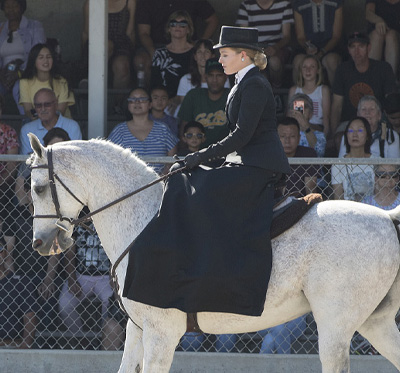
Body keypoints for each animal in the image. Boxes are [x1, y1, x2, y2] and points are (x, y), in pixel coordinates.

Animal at [27, 134, 400, 372]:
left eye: (40, 188)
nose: (42, 244)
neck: (143, 220)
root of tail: (386, 218)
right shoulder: (138, 330)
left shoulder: (162, 335)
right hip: (374, 322)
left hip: (335, 326)